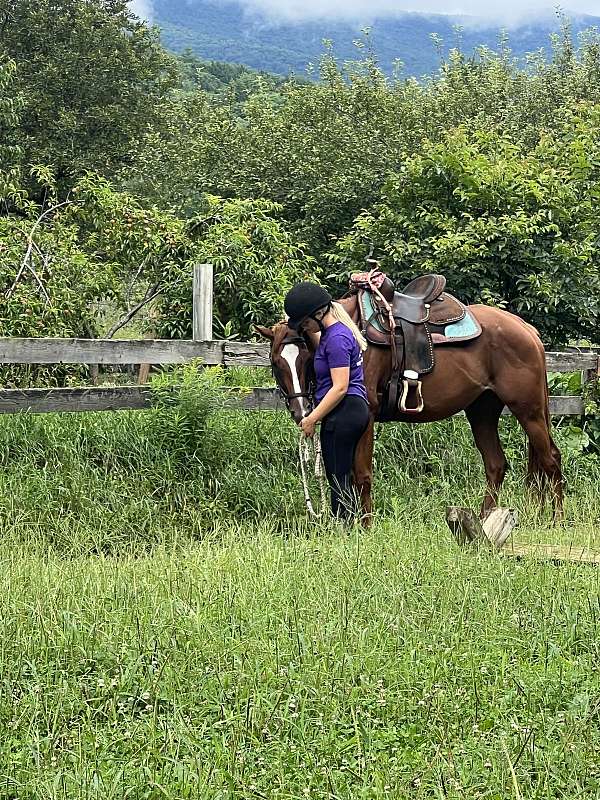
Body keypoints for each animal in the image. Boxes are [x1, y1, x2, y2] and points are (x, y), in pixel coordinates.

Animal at [256, 298, 564, 520]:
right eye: (275, 362)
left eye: (306, 358)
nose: (301, 412)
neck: (355, 336)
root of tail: (526, 329)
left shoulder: (368, 418)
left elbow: (362, 475)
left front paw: (365, 525)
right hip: (482, 411)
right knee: (496, 464)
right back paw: (484, 521)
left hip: (529, 411)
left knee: (550, 458)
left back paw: (555, 520)